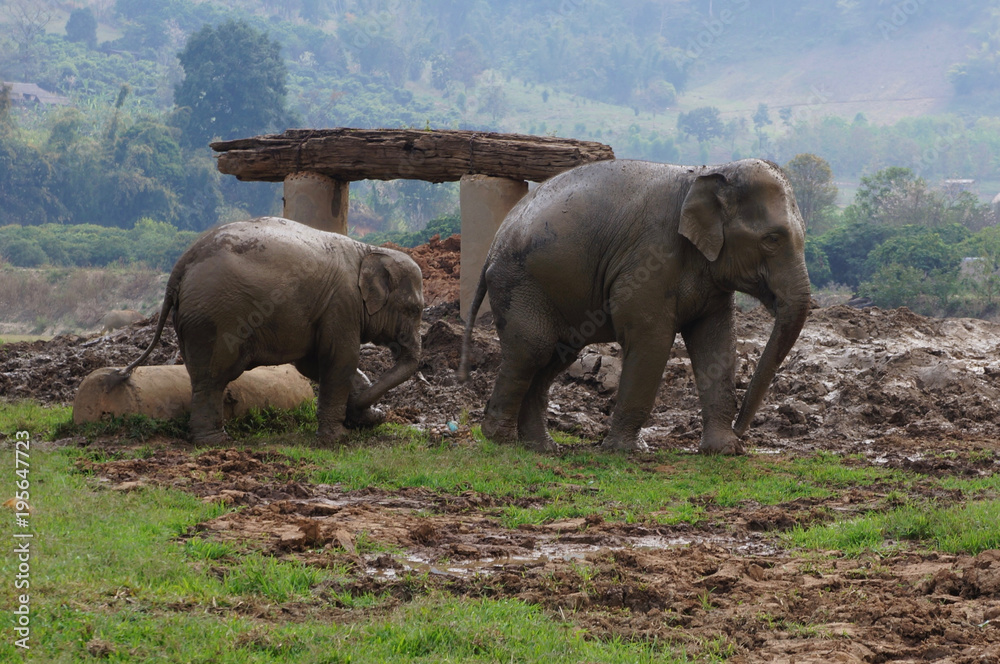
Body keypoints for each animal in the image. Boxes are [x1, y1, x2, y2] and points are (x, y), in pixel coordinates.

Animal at [120, 216, 424, 445]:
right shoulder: (342, 305)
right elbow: (340, 360)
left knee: (201, 374)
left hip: (191, 318)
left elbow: (313, 364)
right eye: (415, 309)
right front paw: (336, 438)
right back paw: (214, 441)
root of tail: (181, 266)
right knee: (213, 376)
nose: (382, 413)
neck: (368, 250)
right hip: (215, 316)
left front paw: (365, 418)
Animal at [458, 158, 811, 455]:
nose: (741, 431)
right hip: (520, 283)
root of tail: (494, 243)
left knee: (555, 356)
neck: (709, 171)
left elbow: (716, 341)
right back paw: (500, 440)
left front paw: (725, 451)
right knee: (533, 350)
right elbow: (651, 340)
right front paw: (626, 451)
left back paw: (542, 447)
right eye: (772, 239)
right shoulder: (649, 259)